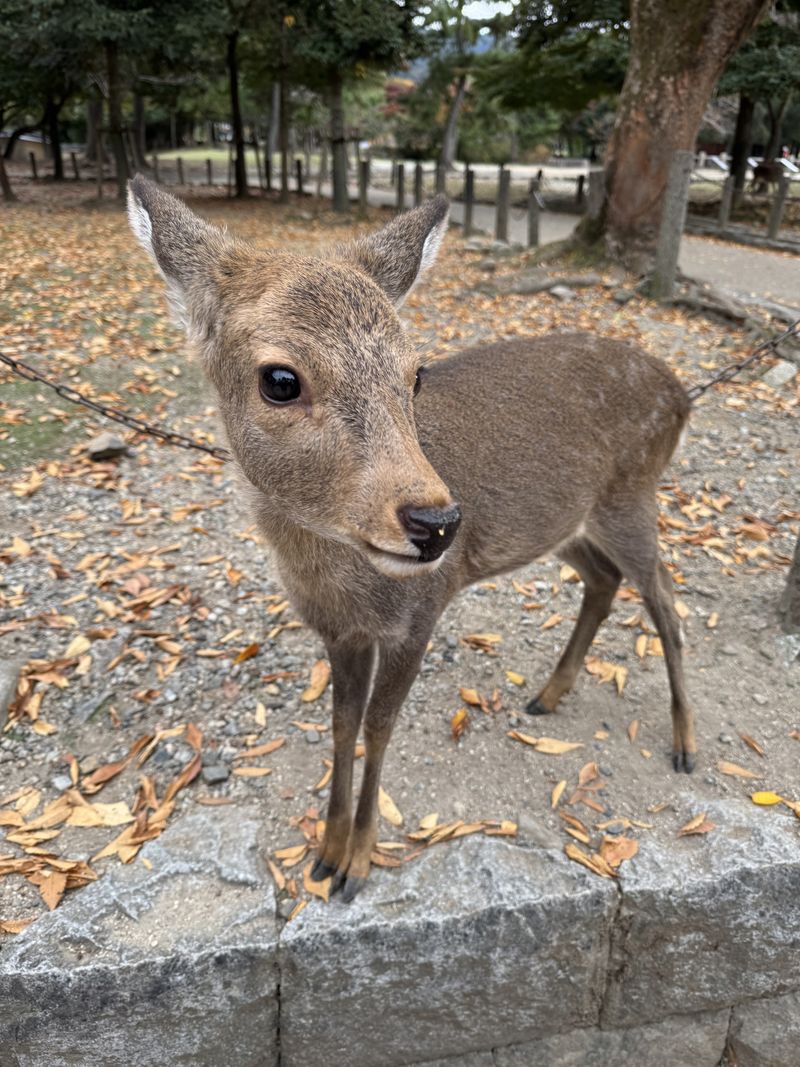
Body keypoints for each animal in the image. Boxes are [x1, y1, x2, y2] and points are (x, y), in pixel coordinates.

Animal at [125, 174, 695, 900]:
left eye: (415, 372)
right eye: (279, 378)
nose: (436, 522)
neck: (338, 584)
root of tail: (682, 394)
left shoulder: (420, 612)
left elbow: (379, 723)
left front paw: (358, 861)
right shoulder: (339, 632)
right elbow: (341, 723)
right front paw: (325, 850)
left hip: (634, 495)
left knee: (666, 600)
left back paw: (685, 744)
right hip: (569, 521)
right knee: (605, 579)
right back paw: (546, 696)